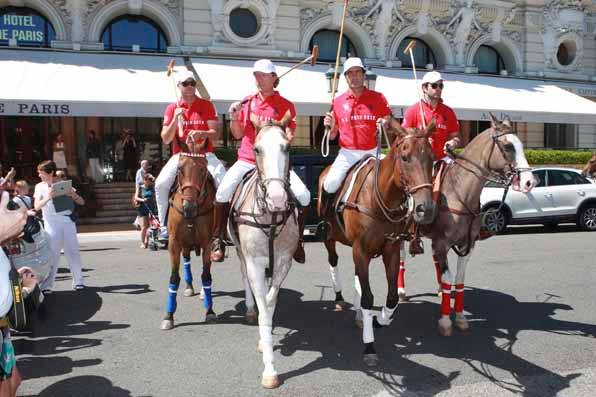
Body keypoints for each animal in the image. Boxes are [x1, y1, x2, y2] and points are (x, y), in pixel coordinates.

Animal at [161, 141, 217, 330]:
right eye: (179, 169)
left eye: (203, 169)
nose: (189, 207)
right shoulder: (174, 243)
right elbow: (173, 277)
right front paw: (169, 315)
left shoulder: (207, 243)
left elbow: (206, 275)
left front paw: (209, 310)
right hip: (184, 243)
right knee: (186, 260)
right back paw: (189, 286)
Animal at [316, 120, 438, 366]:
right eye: (405, 157)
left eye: (431, 157)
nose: (426, 209)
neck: (379, 198)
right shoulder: (361, 250)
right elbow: (368, 297)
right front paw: (369, 345)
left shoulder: (390, 250)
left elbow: (391, 297)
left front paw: (379, 319)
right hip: (330, 237)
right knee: (333, 259)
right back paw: (339, 297)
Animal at [396, 113, 536, 336]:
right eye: (508, 146)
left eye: (522, 144)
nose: (529, 182)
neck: (459, 192)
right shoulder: (442, 243)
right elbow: (448, 278)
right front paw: (445, 321)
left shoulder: (466, 245)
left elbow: (459, 280)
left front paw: (460, 317)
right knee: (400, 258)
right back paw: (400, 290)